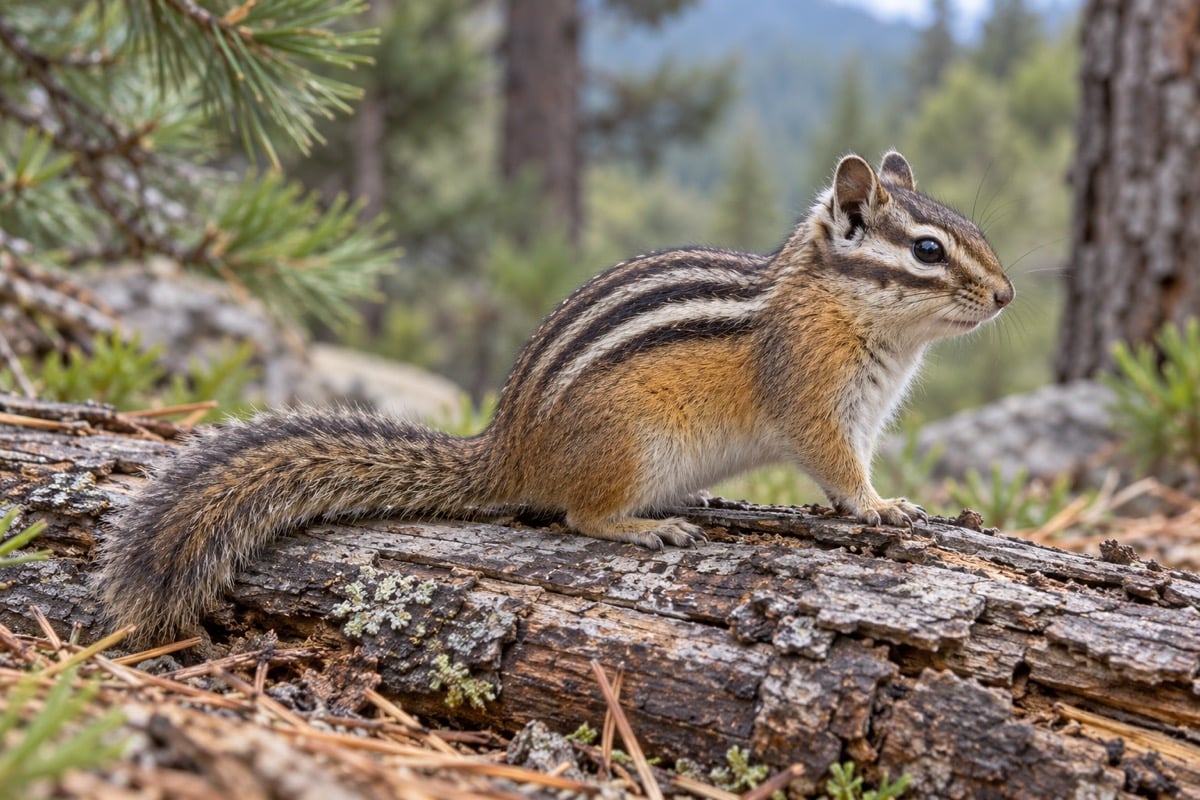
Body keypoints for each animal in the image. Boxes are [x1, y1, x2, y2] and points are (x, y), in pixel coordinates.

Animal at [96, 151, 1013, 643]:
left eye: (974, 231)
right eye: (928, 251)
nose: (1007, 297)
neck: (846, 308)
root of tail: (506, 449)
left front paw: (884, 503)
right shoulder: (816, 398)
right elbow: (838, 467)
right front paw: (882, 506)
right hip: (631, 443)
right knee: (578, 514)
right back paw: (647, 527)